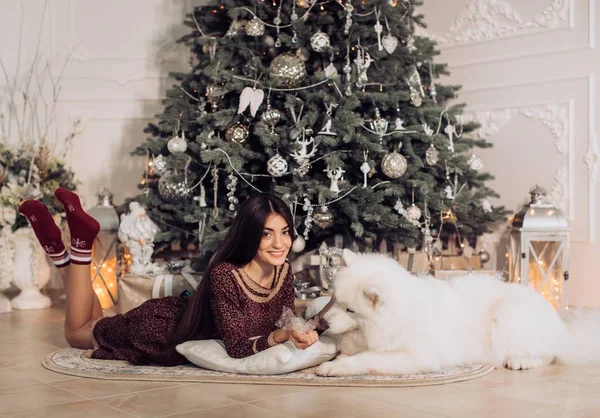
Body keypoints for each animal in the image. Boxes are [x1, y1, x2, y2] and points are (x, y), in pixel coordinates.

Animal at [314, 250, 600, 378]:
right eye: (334, 299)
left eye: (351, 309)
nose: (322, 324)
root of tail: (562, 327)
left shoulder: (415, 356)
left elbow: (366, 358)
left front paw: (332, 368)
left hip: (507, 317)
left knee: (549, 354)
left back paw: (522, 361)